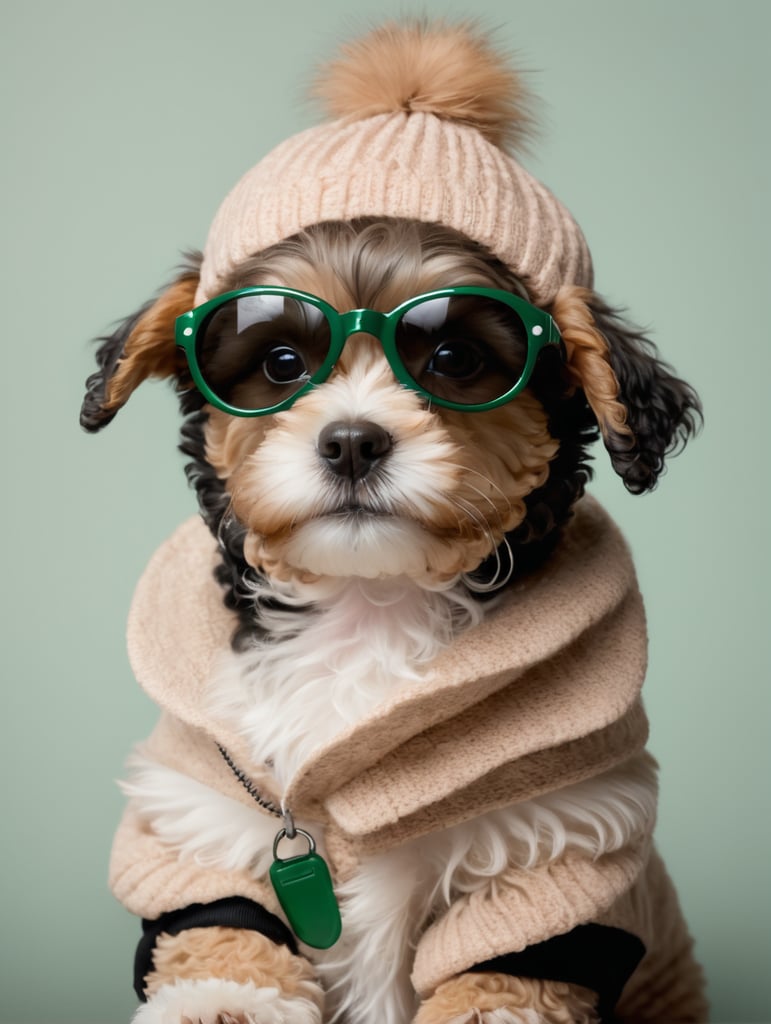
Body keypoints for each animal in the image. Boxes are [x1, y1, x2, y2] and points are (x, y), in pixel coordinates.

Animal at [81, 18, 708, 1024]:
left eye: (454, 359)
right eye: (280, 362)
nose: (349, 442)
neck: (366, 610)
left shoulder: (549, 863)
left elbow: (500, 980)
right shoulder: (201, 832)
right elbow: (222, 935)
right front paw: (222, 1002)